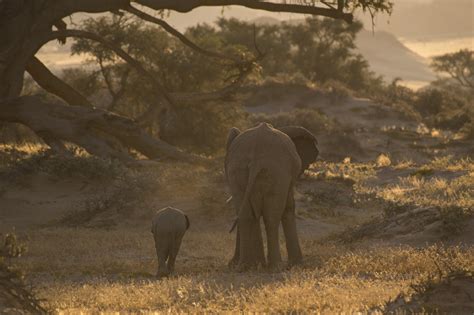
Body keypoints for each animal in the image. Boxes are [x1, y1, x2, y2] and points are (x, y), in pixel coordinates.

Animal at [225, 122, 318, 270]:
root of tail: (256, 154)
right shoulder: (288, 176)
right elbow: (289, 207)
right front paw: (297, 264)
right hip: (277, 172)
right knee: (272, 217)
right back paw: (276, 267)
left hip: (238, 170)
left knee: (245, 214)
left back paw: (244, 266)